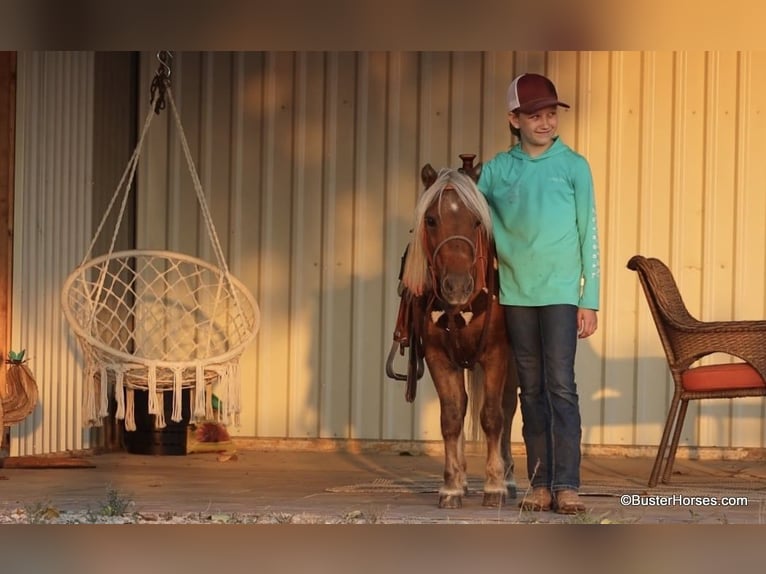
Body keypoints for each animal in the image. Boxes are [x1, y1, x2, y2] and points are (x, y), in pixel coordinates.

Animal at [402, 156, 520, 508]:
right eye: (430, 220)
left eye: (477, 221)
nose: (456, 286)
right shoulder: (439, 358)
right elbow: (452, 416)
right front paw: (452, 485)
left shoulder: (496, 355)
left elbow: (493, 416)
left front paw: (494, 487)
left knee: (508, 410)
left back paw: (508, 479)